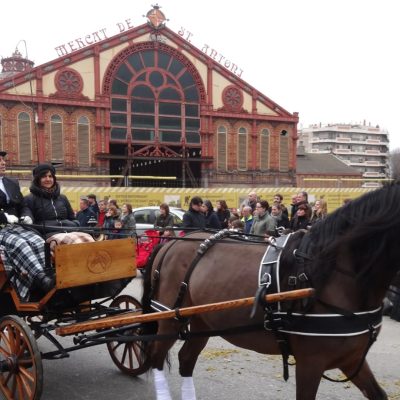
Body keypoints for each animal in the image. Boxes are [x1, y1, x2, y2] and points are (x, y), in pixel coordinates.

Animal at [141, 183, 400, 398]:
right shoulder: (310, 363)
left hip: (202, 321)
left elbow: (378, 394)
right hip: (170, 319)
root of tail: (172, 243)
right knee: (156, 357)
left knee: (186, 359)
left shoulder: (352, 359)